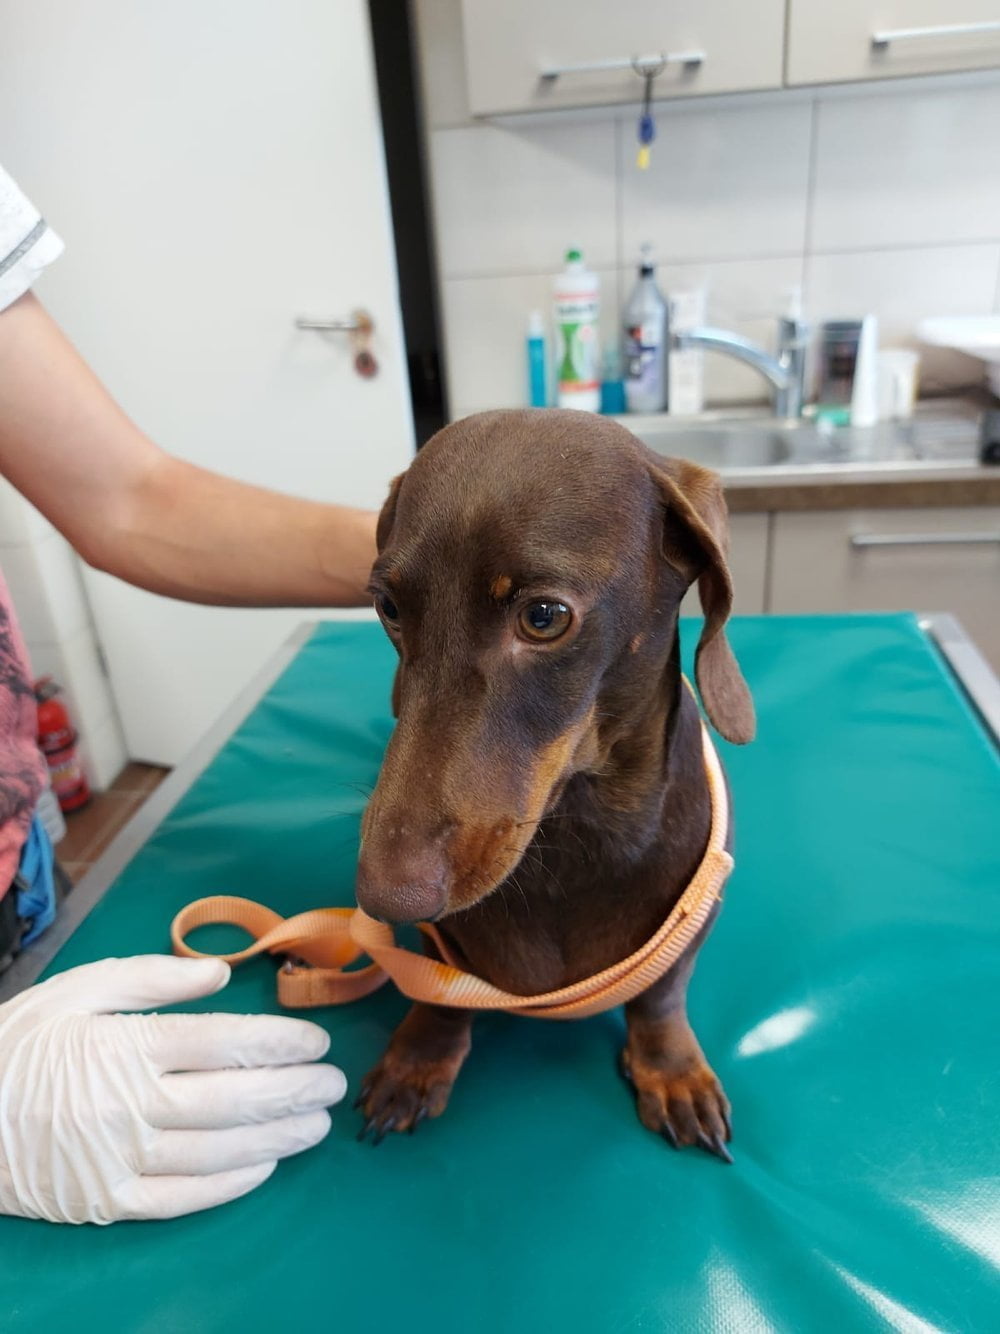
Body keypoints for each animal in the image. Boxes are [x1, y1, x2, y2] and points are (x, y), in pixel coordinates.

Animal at [353, 408, 754, 1158]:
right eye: (390, 607)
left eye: (544, 617)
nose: (386, 897)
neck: (570, 834)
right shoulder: (440, 948)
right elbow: (438, 994)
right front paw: (419, 1056)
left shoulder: (699, 913)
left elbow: (661, 996)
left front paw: (670, 1068)